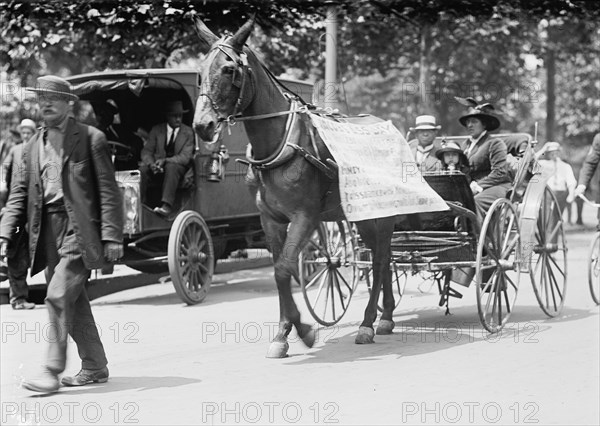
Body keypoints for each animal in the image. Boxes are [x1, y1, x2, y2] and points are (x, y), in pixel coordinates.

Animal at [193, 17, 398, 356]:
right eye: (200, 70)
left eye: (229, 69)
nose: (202, 125)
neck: (279, 144)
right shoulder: (270, 219)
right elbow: (281, 271)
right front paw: (282, 334)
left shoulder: (306, 216)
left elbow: (283, 268)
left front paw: (304, 330)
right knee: (386, 256)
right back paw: (387, 315)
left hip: (377, 215)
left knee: (380, 259)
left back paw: (369, 322)